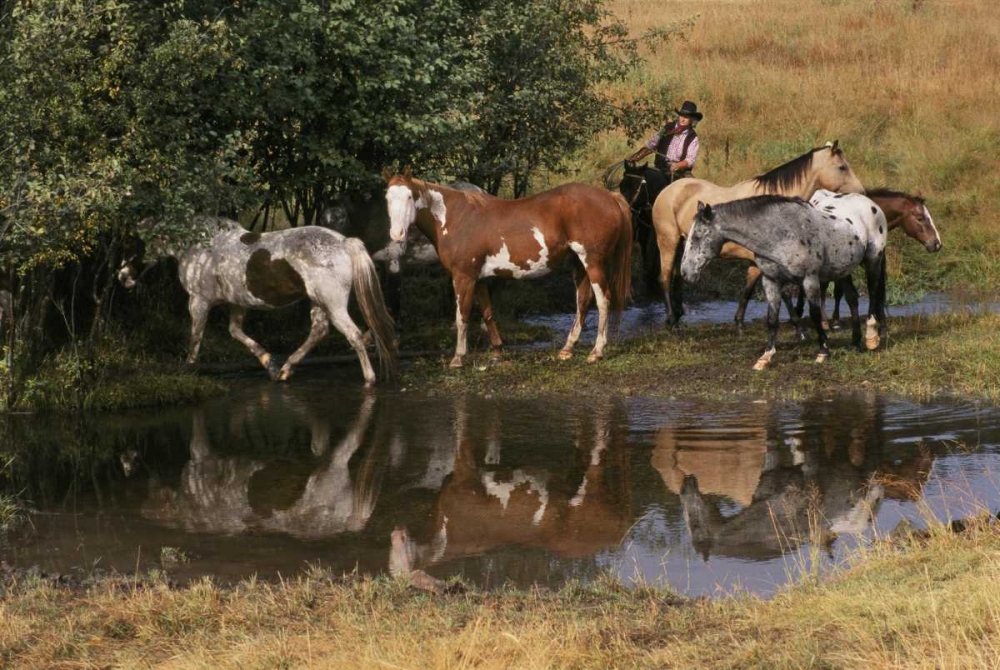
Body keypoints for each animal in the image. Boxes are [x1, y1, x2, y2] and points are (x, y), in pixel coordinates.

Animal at [117, 216, 397, 385]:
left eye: (132, 246)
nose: (122, 278)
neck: (199, 248)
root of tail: (345, 243)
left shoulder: (198, 301)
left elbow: (196, 337)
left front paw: (190, 369)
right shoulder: (238, 304)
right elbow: (235, 332)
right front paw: (269, 364)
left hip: (333, 304)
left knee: (353, 335)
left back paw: (369, 379)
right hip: (318, 302)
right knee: (319, 331)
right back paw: (285, 369)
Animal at [384, 168, 632, 367]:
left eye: (409, 196)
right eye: (387, 197)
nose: (396, 234)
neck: (455, 218)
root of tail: (610, 197)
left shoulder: (463, 277)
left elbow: (461, 316)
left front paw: (458, 358)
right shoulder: (479, 278)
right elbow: (487, 313)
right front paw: (497, 352)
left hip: (593, 261)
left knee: (603, 301)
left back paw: (596, 352)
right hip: (578, 263)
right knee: (582, 301)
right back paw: (567, 349)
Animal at [618, 161, 671, 296]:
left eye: (637, 186)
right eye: (621, 185)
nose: (624, 208)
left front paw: (654, 278)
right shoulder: (643, 226)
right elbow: (644, 246)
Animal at [650, 141, 865, 326]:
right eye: (842, 167)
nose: (862, 191)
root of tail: (668, 190)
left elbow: (748, 291)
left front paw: (739, 322)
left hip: (683, 244)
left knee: (678, 277)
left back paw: (679, 313)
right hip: (667, 242)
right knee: (665, 276)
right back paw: (670, 319)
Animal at [681, 194, 887, 370]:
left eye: (697, 237)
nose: (685, 273)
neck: (780, 234)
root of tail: (871, 203)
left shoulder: (809, 279)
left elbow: (814, 314)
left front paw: (823, 351)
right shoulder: (770, 281)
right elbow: (772, 319)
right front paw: (765, 358)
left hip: (873, 260)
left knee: (873, 293)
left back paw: (871, 338)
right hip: (843, 269)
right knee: (852, 298)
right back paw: (855, 341)